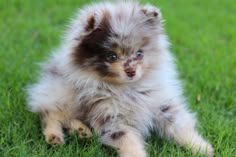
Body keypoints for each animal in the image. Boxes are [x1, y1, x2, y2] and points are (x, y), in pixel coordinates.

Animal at [27, 0, 214, 156]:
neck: (128, 90)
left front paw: (200, 147)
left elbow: (181, 128)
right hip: (62, 94)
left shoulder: (162, 105)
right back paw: (55, 136)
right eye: (112, 56)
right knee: (50, 113)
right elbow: (128, 142)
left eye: (139, 53)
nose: (130, 71)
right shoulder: (112, 118)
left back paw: (80, 130)